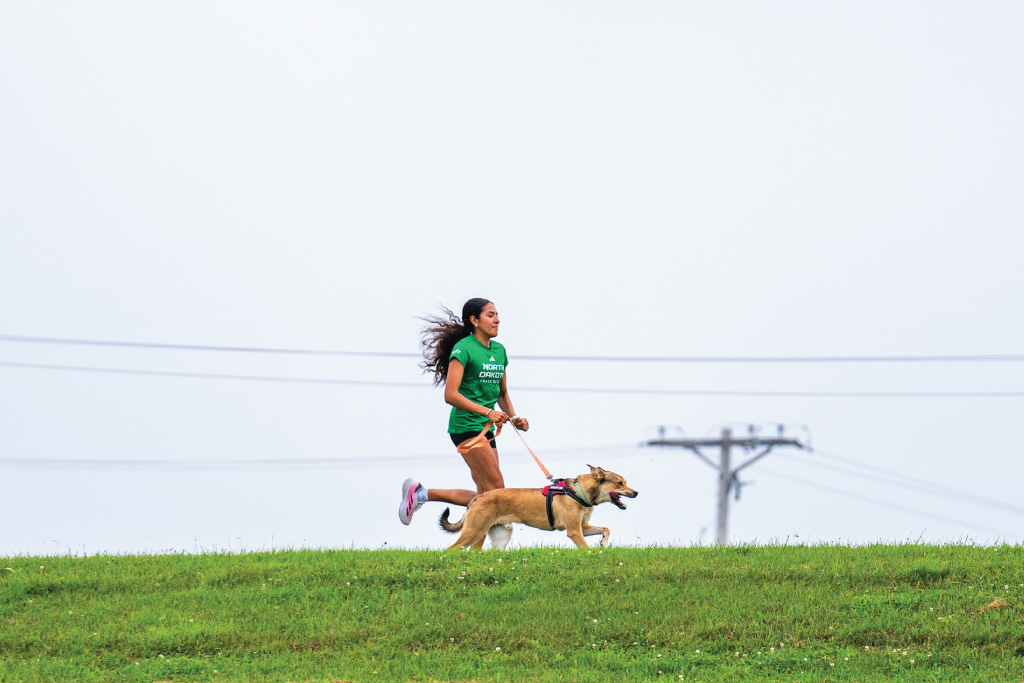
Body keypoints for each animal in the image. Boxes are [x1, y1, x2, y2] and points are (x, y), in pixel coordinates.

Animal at [440, 464, 638, 548]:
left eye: (625, 482)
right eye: (620, 483)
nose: (636, 493)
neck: (578, 492)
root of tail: (479, 497)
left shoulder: (583, 527)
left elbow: (606, 528)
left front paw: (603, 542)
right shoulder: (574, 531)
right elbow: (586, 549)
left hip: (501, 537)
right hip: (474, 531)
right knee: (451, 550)